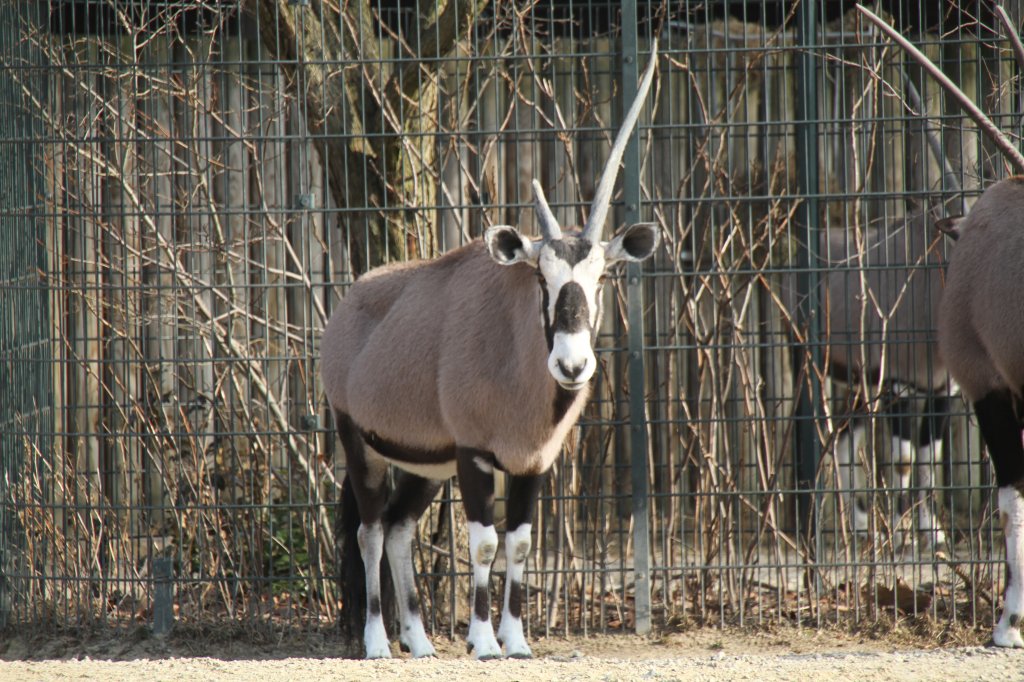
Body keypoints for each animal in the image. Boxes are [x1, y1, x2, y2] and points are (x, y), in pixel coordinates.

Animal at [319, 46, 659, 655]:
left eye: (602, 278)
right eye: (541, 279)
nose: (571, 366)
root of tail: (350, 304)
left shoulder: (531, 463)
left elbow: (518, 545)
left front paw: (516, 641)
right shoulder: (475, 455)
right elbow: (482, 544)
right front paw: (481, 641)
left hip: (427, 464)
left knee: (400, 528)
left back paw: (420, 642)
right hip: (359, 442)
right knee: (371, 529)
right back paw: (378, 641)